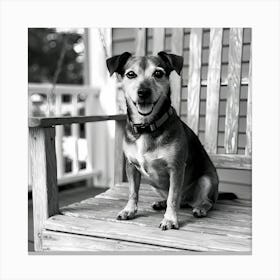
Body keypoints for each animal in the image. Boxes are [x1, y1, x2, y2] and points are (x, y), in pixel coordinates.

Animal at [106, 51, 233, 231]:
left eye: (158, 73)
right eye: (130, 74)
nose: (143, 92)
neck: (147, 127)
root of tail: (188, 201)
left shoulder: (176, 168)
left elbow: (173, 197)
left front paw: (170, 219)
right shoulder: (131, 166)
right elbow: (132, 192)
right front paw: (129, 210)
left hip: (207, 181)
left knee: (205, 201)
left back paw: (200, 207)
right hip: (155, 184)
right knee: (174, 199)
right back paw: (161, 203)